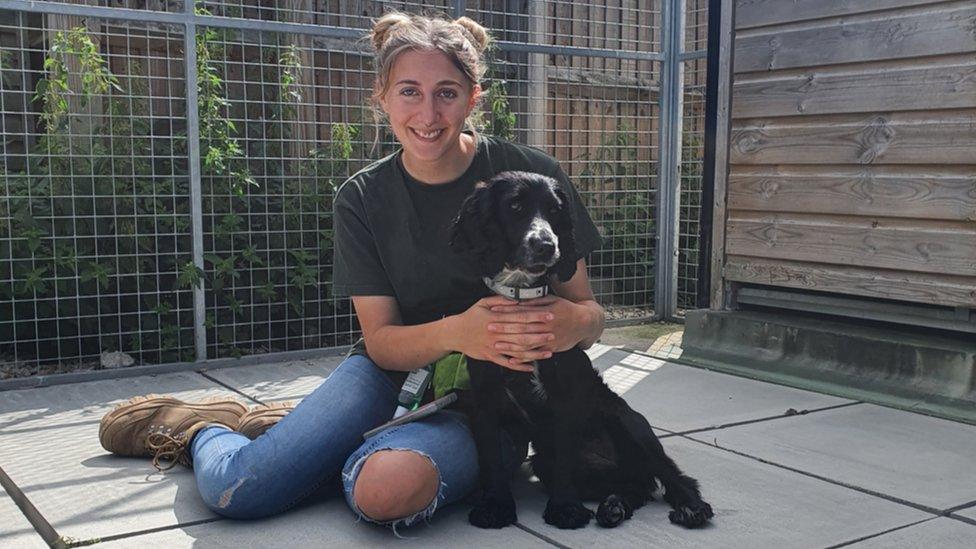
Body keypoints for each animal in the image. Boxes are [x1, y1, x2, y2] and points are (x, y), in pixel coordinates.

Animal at [448, 172, 708, 532]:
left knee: (672, 475)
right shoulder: (485, 398)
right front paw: (495, 505)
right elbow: (491, 459)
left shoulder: (566, 399)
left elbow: (565, 460)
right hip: (551, 462)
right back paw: (614, 507)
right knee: (635, 487)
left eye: (556, 210)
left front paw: (565, 509)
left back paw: (691, 506)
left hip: (628, 422)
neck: (521, 301)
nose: (547, 246)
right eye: (515, 206)